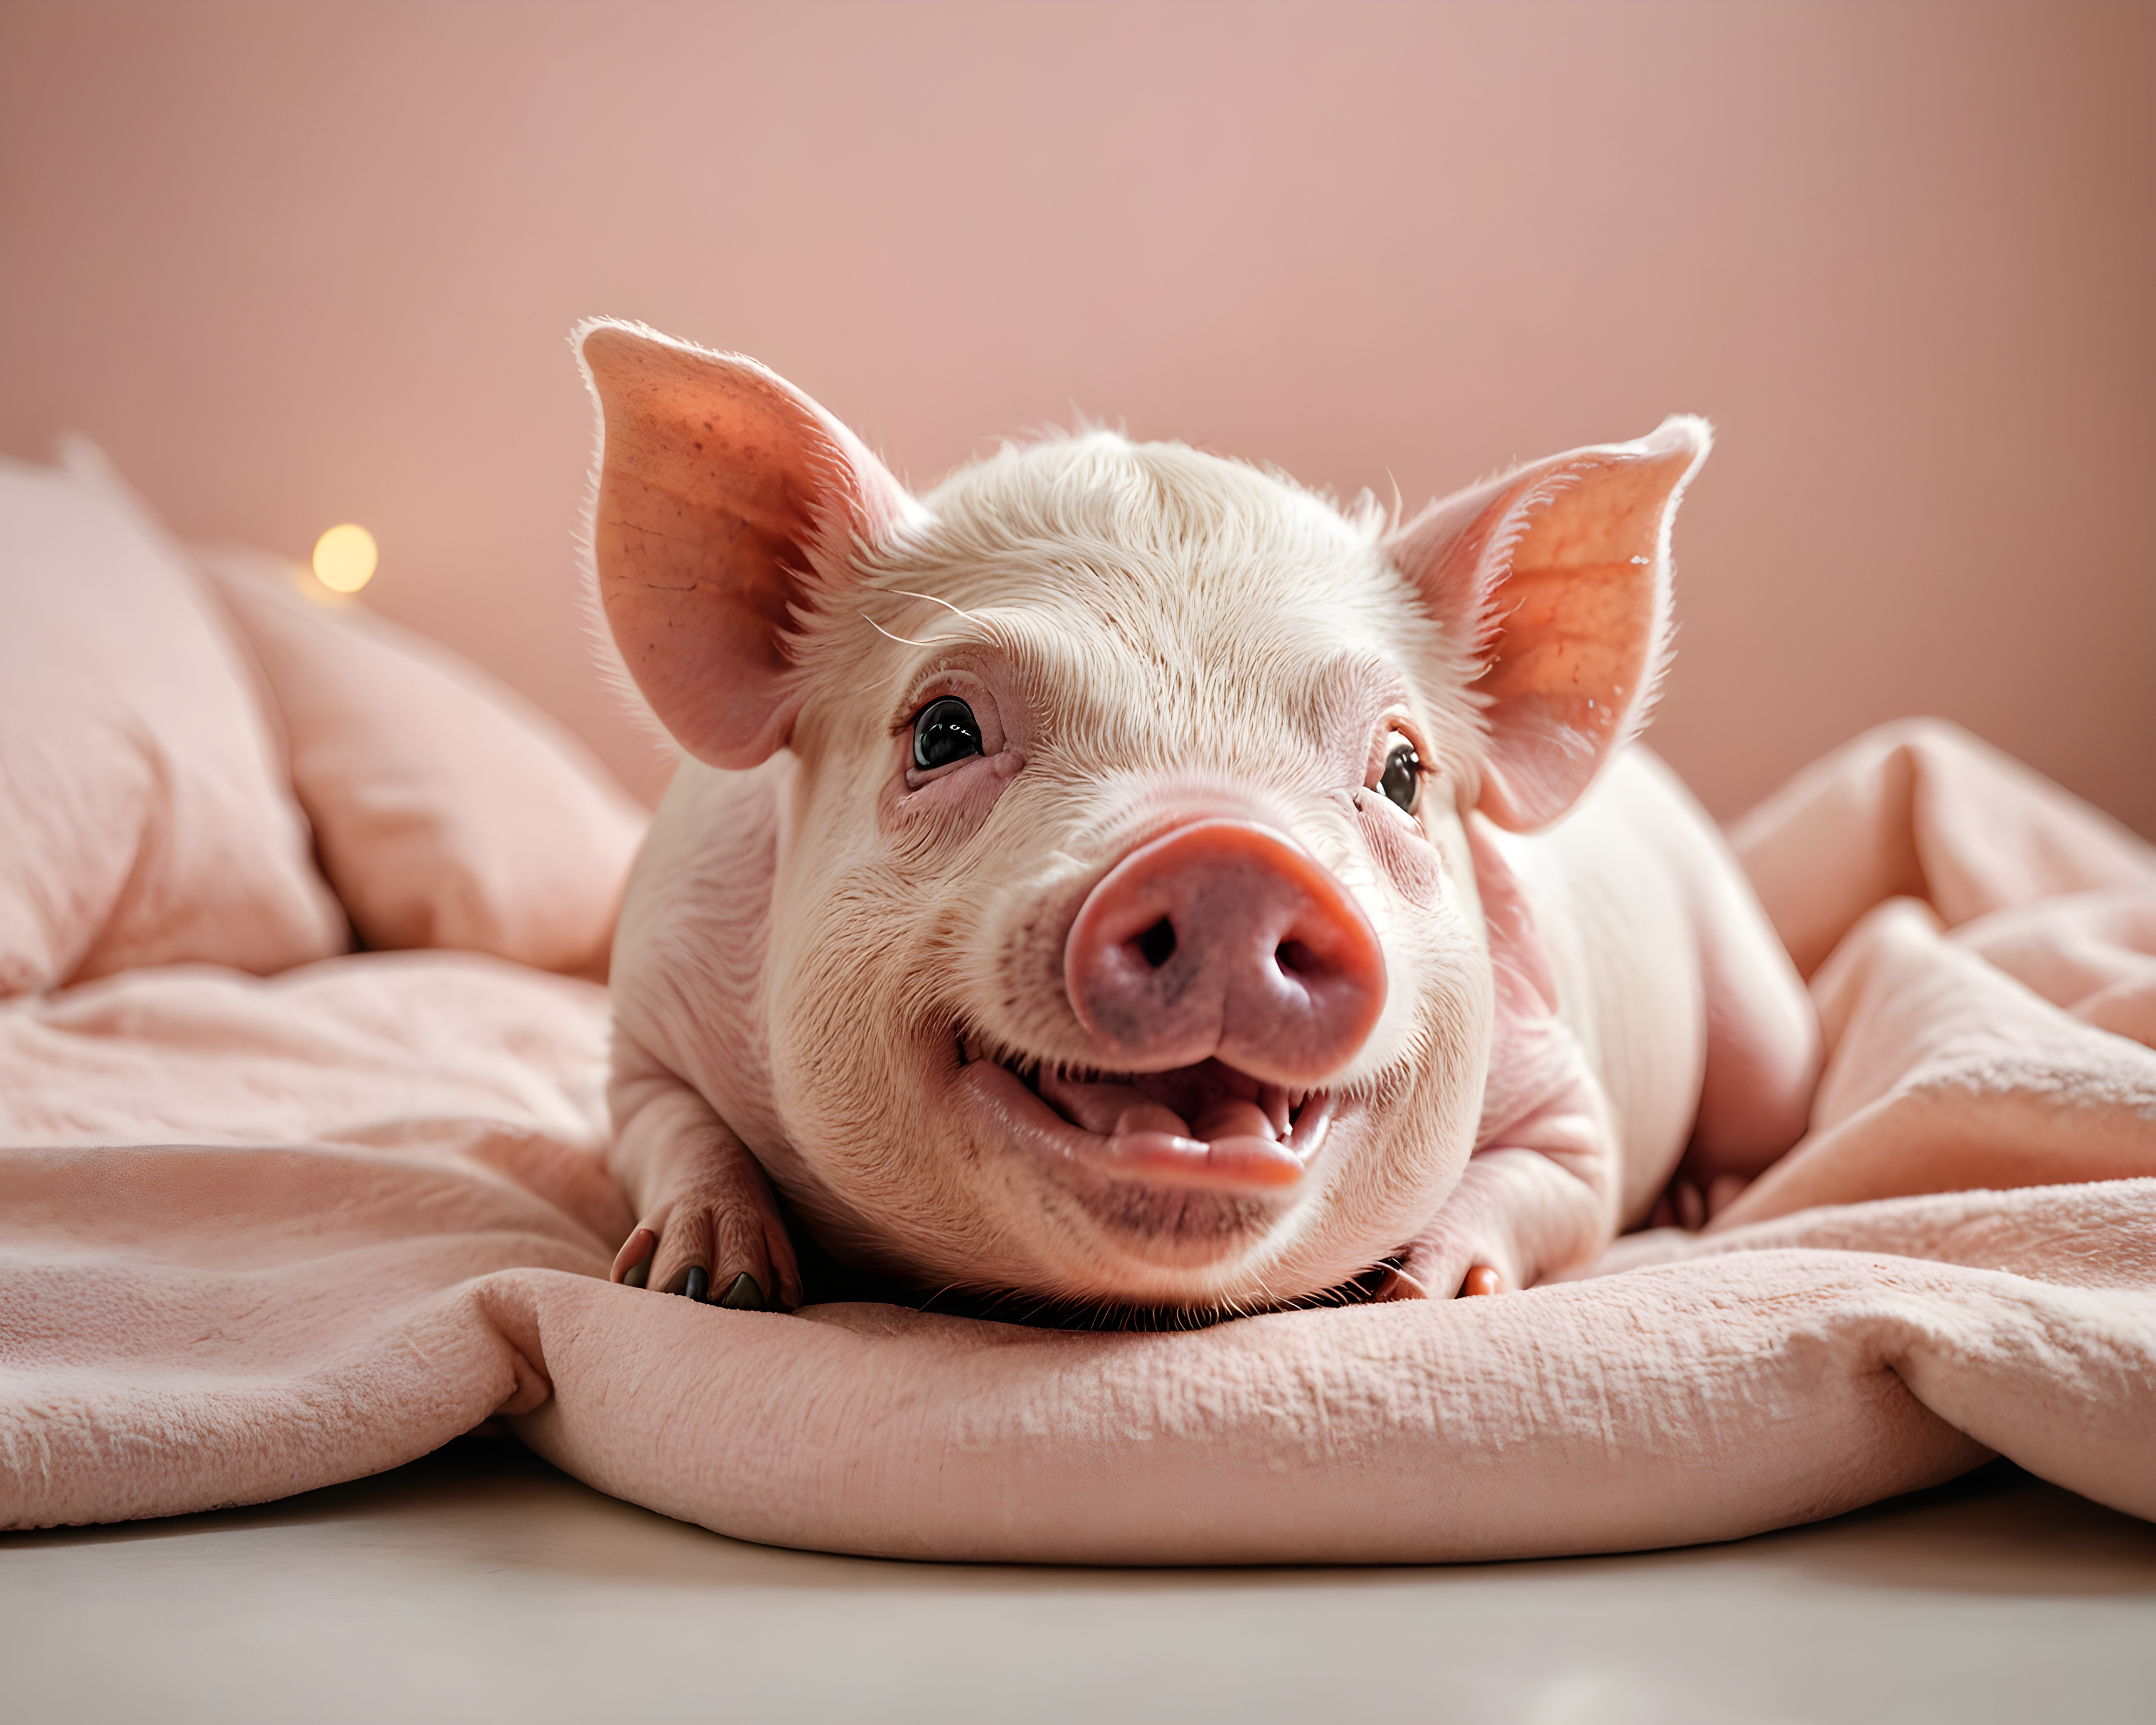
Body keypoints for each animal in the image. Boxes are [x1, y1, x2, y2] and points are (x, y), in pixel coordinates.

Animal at [580, 319, 1821, 1317]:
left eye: (1403, 773)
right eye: (940, 731)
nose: (1226, 858)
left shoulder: (1560, 1076)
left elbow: (1569, 1176)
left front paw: (1428, 1295)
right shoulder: (647, 1012)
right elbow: (667, 1128)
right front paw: (706, 1284)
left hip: (1758, 1005)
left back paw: (1710, 1196)